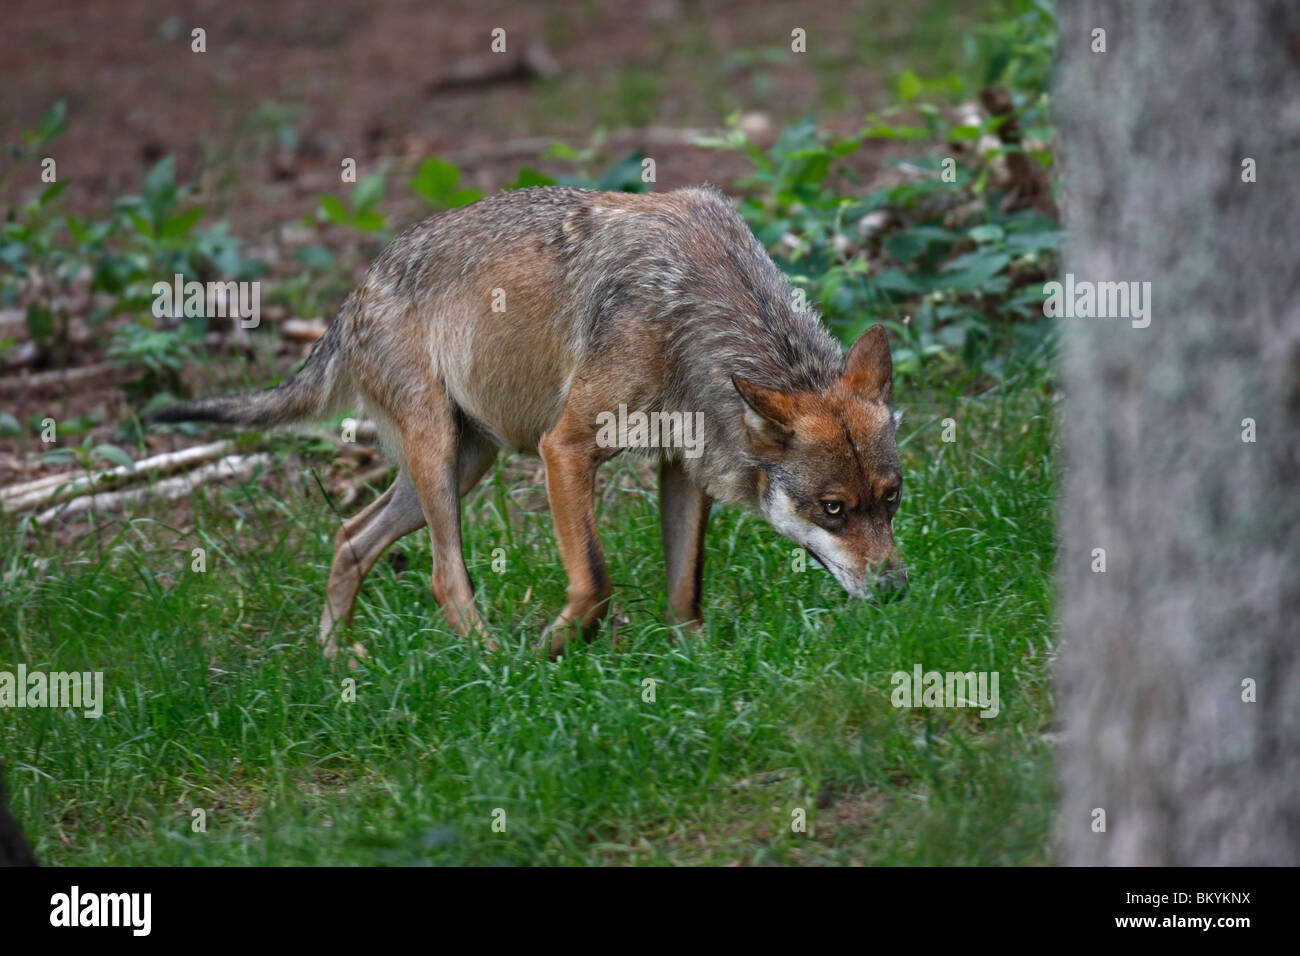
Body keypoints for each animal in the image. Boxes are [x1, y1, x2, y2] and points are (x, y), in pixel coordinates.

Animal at [149, 185, 904, 658]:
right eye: (833, 509)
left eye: (892, 500)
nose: (899, 591)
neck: (696, 310)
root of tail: (355, 291)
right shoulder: (563, 448)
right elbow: (595, 582)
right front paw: (554, 648)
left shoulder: (683, 467)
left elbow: (685, 591)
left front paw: (696, 663)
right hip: (441, 460)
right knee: (442, 578)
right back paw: (491, 663)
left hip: (461, 468)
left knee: (348, 537)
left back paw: (338, 661)